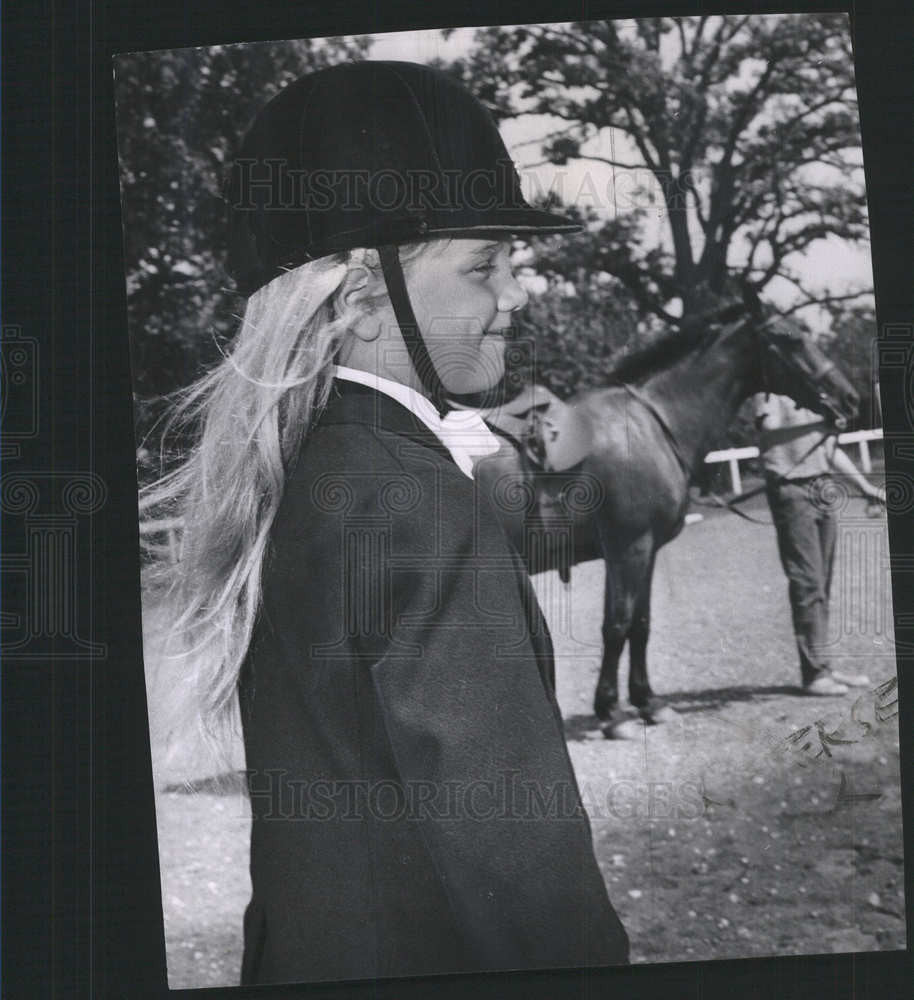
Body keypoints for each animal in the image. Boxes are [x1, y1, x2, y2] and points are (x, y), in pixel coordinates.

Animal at [474, 304, 860, 736]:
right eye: (791, 338)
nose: (849, 398)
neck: (648, 425)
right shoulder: (629, 549)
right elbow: (618, 626)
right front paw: (611, 714)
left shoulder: (643, 551)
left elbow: (640, 624)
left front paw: (648, 703)